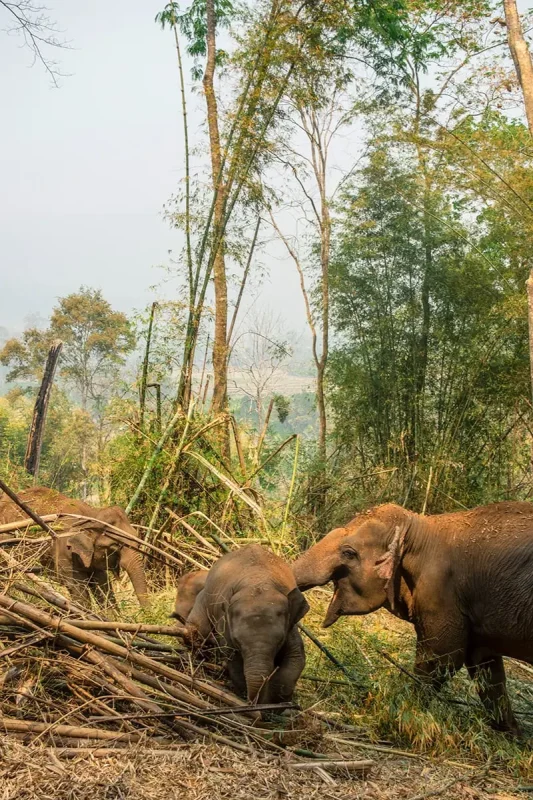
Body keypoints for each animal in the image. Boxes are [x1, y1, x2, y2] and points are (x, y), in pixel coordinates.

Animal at [0, 486, 149, 608]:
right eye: (115, 545)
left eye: (138, 542)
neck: (91, 513)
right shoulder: (62, 549)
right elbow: (78, 588)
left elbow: (103, 585)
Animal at [184, 545, 309, 705]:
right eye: (237, 641)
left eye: (279, 641)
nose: (253, 703)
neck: (258, 582)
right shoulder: (225, 625)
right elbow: (233, 659)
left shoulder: (290, 626)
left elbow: (296, 656)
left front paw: (278, 700)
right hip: (203, 600)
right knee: (196, 633)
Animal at [293, 501, 533, 734]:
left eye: (349, 553)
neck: (419, 527)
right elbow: (485, 667)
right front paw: (512, 734)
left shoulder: (441, 593)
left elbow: (443, 657)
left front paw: (403, 713)